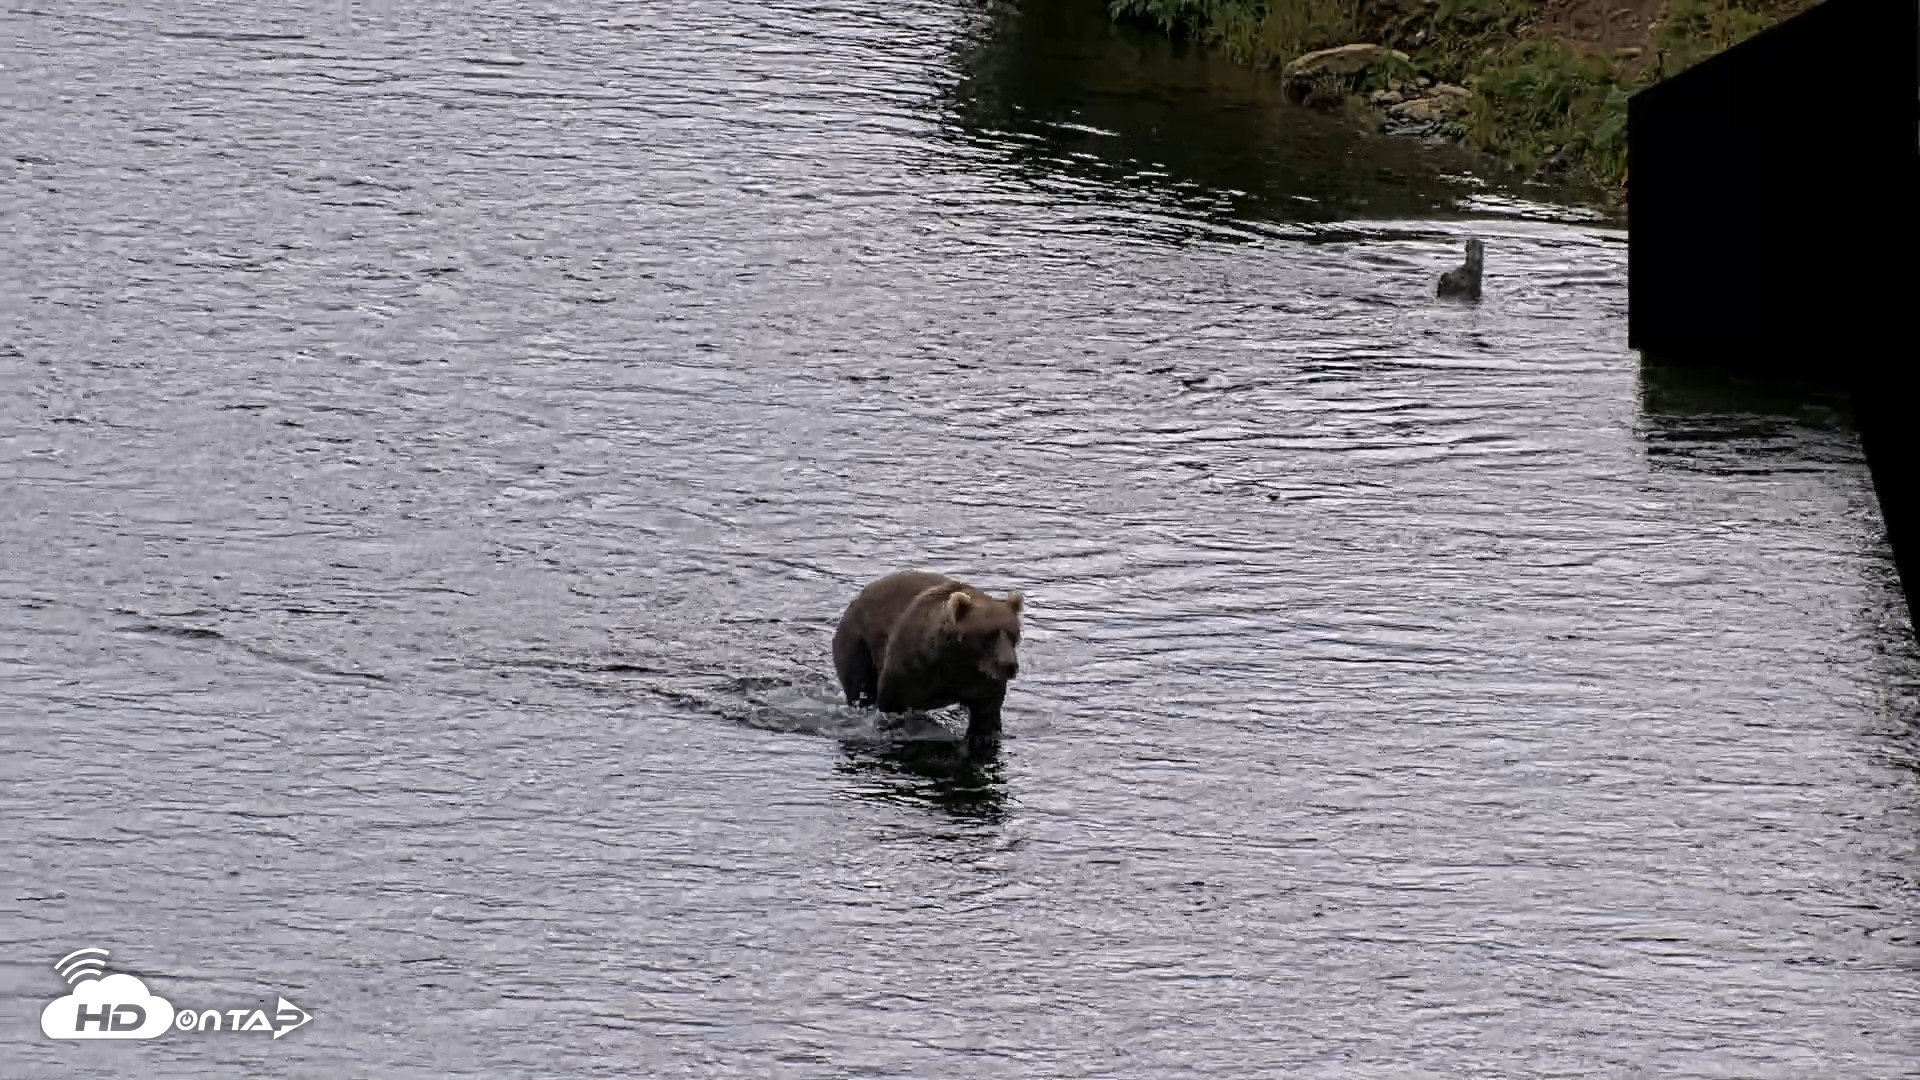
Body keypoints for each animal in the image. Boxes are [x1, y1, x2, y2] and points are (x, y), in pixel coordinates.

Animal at [832, 570, 1025, 753]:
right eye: (987, 635)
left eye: (1014, 634)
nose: (1009, 666)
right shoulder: (913, 668)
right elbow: (892, 702)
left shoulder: (980, 679)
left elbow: (986, 714)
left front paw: (982, 737)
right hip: (858, 642)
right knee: (860, 684)